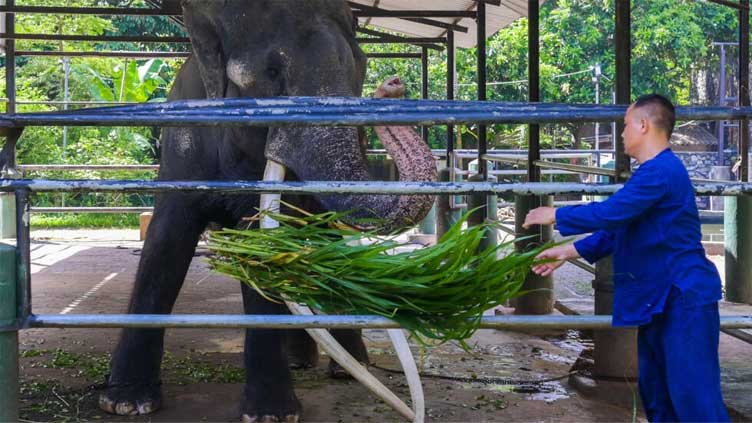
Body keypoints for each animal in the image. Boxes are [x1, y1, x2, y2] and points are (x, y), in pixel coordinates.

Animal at [98, 1, 440, 422]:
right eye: (272, 73)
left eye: (359, 66)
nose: (392, 84)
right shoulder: (182, 142)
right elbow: (165, 242)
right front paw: (126, 402)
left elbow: (262, 246)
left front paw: (270, 415)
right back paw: (301, 362)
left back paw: (343, 369)